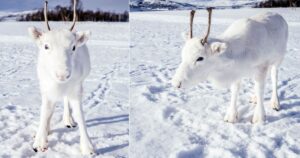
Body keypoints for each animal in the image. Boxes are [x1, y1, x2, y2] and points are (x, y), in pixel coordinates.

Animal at [28, 0, 95, 154]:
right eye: (46, 46)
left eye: (74, 47)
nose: (63, 74)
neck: (59, 84)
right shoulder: (45, 88)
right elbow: (45, 111)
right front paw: (40, 141)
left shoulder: (76, 89)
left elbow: (80, 114)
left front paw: (88, 147)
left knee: (65, 101)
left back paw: (68, 120)